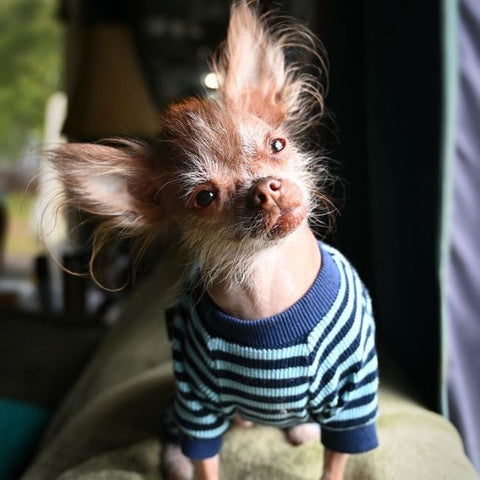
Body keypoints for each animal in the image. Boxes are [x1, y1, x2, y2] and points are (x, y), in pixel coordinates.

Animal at [49, 1, 378, 478]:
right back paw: (177, 459)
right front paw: (191, 462)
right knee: (183, 436)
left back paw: (301, 427)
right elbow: (205, 459)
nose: (267, 188)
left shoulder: (354, 402)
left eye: (277, 145)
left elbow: (336, 463)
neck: (266, 291)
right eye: (204, 197)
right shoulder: (197, 403)